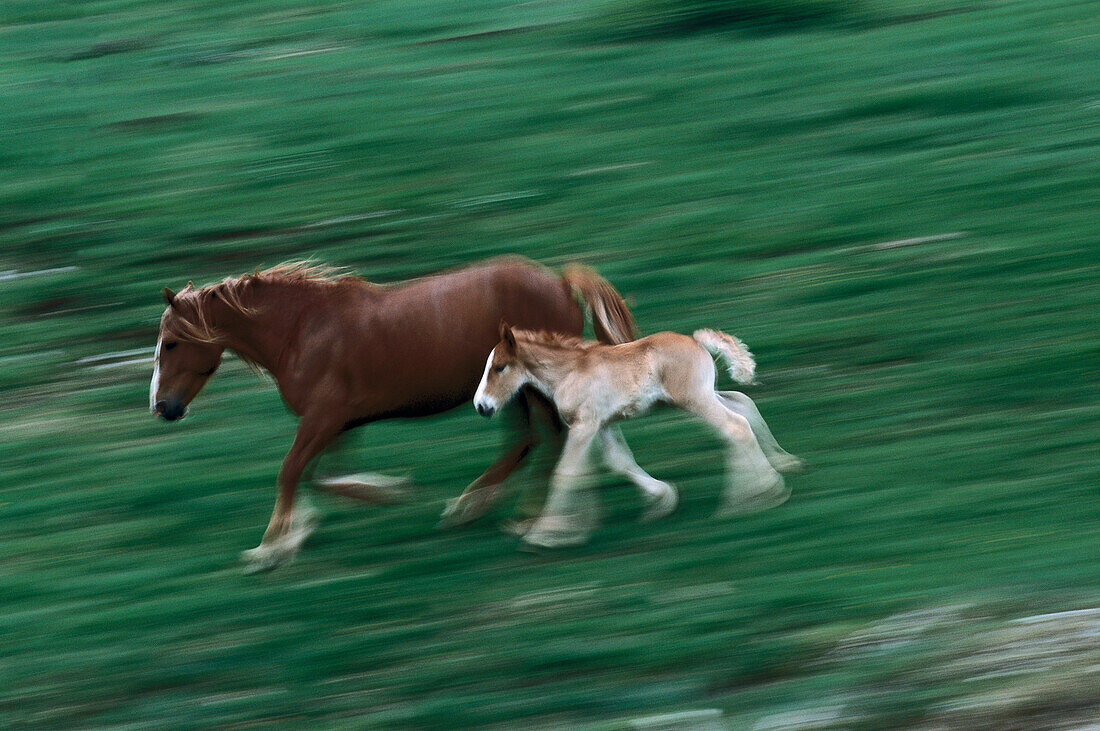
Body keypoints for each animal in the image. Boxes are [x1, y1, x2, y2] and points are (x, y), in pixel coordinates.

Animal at [151, 256, 655, 571]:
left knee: (544, 440)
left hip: (527, 387)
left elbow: (292, 471)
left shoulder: (324, 417)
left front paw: (271, 548)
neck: (302, 332)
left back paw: (519, 517)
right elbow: (319, 476)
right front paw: (342, 509)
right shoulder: (337, 423)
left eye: (171, 343)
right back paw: (482, 508)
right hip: (511, 390)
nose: (161, 407)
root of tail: (560, 283)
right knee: (531, 441)